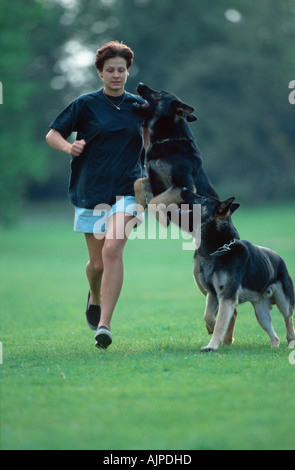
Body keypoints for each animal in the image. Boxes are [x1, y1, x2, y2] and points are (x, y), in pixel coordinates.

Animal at [133, 82, 219, 226]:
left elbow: (154, 201)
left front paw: (161, 218)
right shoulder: (156, 182)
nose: (139, 83)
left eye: (161, 94)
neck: (168, 140)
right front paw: (140, 205)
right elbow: (138, 182)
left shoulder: (182, 186)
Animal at [180, 189, 295, 350]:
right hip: (261, 314)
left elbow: (221, 323)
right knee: (274, 335)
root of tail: (280, 259)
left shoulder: (226, 297)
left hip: (284, 303)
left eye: (203, 198)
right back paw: (274, 347)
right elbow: (208, 316)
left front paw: (212, 345)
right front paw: (212, 329)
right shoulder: (213, 294)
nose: (183, 189)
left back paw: (291, 340)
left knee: (288, 318)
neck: (219, 249)